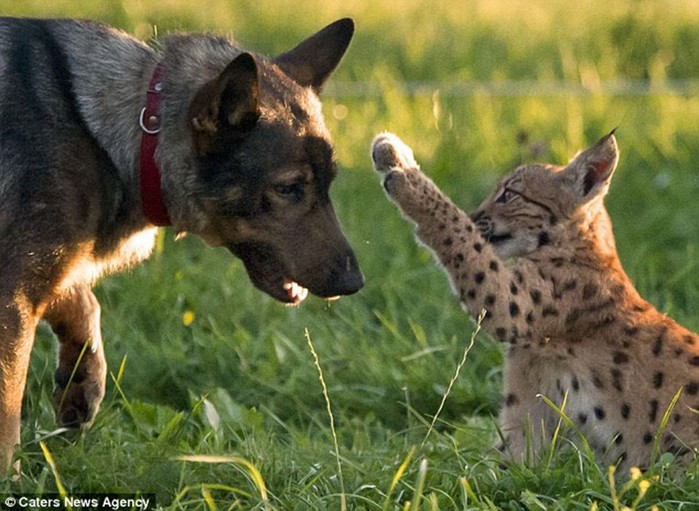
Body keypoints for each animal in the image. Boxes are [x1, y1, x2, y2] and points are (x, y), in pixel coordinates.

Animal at [0, 17, 360, 472]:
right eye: (288, 188)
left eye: (329, 185)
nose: (355, 282)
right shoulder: (13, 294)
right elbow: (7, 414)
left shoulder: (43, 272)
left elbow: (83, 304)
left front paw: (82, 384)